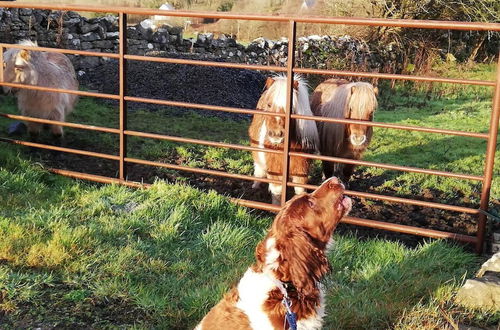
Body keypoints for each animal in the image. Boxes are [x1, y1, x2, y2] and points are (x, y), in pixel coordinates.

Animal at [248, 74, 318, 204]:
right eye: (269, 105)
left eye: (291, 107)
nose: (276, 134)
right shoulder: (274, 169)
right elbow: (277, 192)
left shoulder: (302, 169)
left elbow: (300, 191)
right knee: (258, 170)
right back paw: (255, 187)